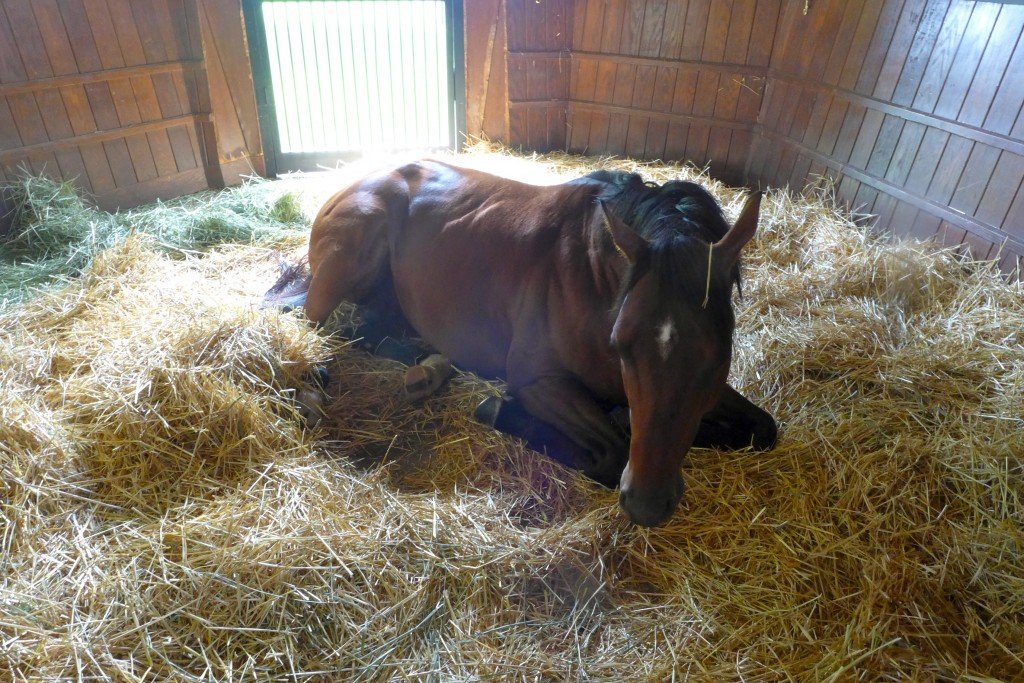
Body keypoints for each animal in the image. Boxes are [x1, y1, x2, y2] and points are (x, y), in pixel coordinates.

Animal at [264, 161, 774, 528]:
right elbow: (611, 452)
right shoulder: (537, 382)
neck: (593, 279)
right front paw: (501, 410)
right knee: (315, 327)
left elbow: (764, 429)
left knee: (368, 333)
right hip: (348, 261)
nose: (647, 504)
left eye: (717, 353)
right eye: (623, 343)